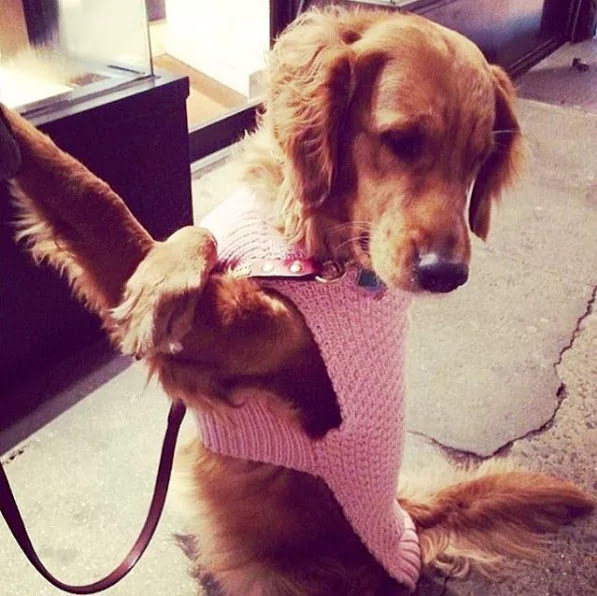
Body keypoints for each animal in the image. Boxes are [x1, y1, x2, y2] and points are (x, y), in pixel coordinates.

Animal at [1, 7, 594, 596]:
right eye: (402, 140)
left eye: (480, 159)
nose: (445, 274)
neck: (315, 246)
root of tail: (407, 519)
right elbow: (184, 228)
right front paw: (165, 273)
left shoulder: (236, 341)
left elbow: (102, 202)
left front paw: (159, 283)